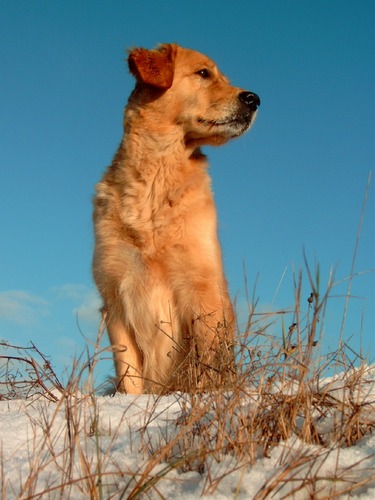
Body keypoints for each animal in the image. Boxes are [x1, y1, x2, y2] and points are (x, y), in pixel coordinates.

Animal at [92, 44, 260, 394]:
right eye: (203, 73)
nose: (254, 99)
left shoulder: (203, 291)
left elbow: (208, 366)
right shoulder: (114, 297)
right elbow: (129, 376)